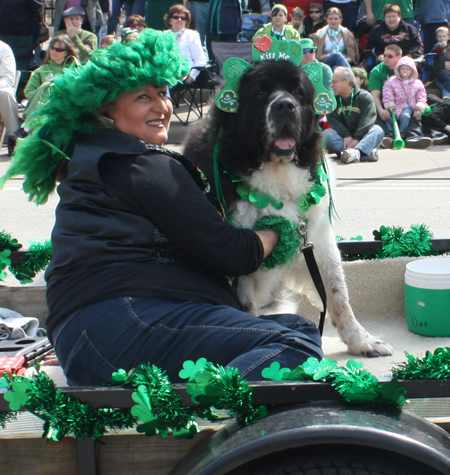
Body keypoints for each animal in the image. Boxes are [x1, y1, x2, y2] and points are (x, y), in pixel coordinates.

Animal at [183, 59, 390, 356]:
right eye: (259, 92)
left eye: (297, 91)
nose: (284, 106)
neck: (277, 176)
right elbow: (246, 310)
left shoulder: (317, 239)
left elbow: (338, 293)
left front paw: (362, 341)